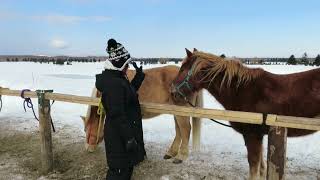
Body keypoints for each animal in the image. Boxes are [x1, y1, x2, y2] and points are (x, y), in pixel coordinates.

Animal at [172, 48, 320, 179]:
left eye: (183, 69)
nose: (173, 92)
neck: (242, 90)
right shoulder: (259, 135)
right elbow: (261, 168)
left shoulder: (252, 135)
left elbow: (254, 168)